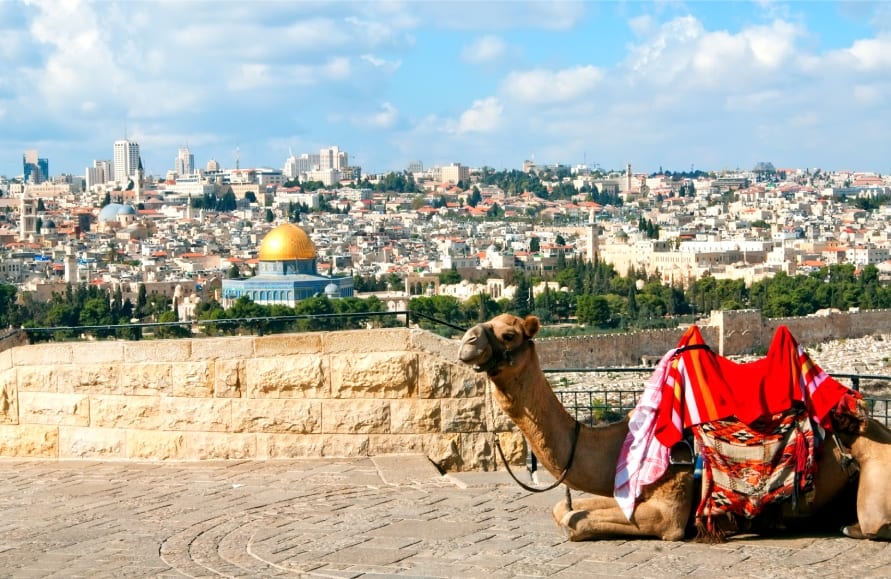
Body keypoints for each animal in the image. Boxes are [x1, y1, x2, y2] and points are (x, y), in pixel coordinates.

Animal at [456, 314, 860, 540]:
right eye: (488, 320)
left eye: (509, 334)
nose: (467, 342)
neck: (620, 441)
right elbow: (564, 510)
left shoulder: (669, 513)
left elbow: (575, 523)